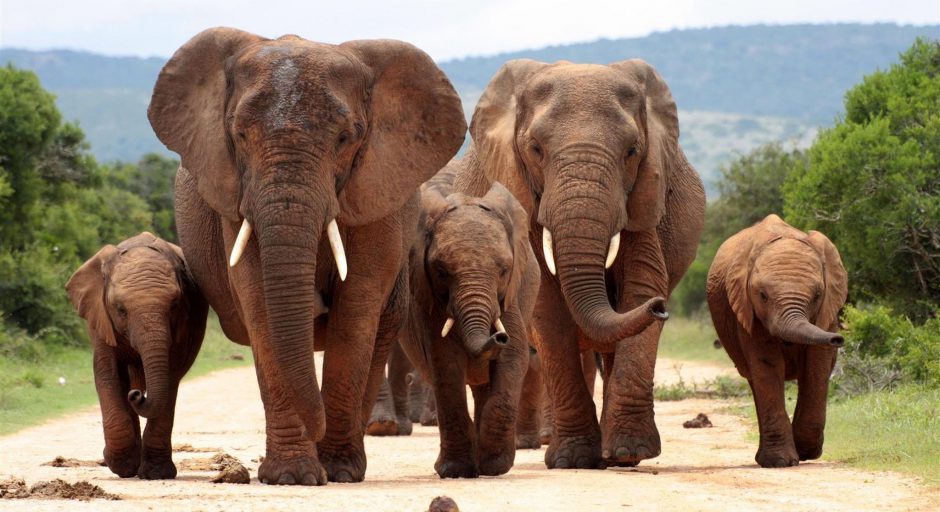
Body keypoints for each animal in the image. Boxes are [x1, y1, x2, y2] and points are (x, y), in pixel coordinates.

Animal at [65, 232, 208, 480]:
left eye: (174, 305)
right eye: (120, 309)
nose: (137, 395)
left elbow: (170, 377)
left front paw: (156, 473)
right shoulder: (101, 318)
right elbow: (107, 372)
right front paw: (121, 466)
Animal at [147, 27, 466, 484]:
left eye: (346, 138)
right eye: (239, 135)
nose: (317, 429)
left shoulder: (376, 194)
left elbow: (356, 310)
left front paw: (336, 471)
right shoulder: (235, 200)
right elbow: (260, 305)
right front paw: (292, 476)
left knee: (381, 330)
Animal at [396, 170, 540, 478]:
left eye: (504, 270)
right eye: (440, 271)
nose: (498, 337)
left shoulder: (510, 297)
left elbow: (514, 357)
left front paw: (494, 466)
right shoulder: (430, 303)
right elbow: (446, 362)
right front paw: (455, 470)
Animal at [450, 59, 704, 468]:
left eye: (632, 151)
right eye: (536, 149)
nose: (662, 308)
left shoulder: (644, 197)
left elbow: (640, 287)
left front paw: (630, 452)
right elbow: (548, 307)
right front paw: (573, 459)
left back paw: (614, 454)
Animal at [704, 213, 852, 468]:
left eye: (817, 295)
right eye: (763, 296)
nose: (837, 338)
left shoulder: (827, 311)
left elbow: (816, 366)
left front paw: (806, 452)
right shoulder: (746, 310)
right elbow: (767, 365)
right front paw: (781, 461)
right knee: (755, 379)